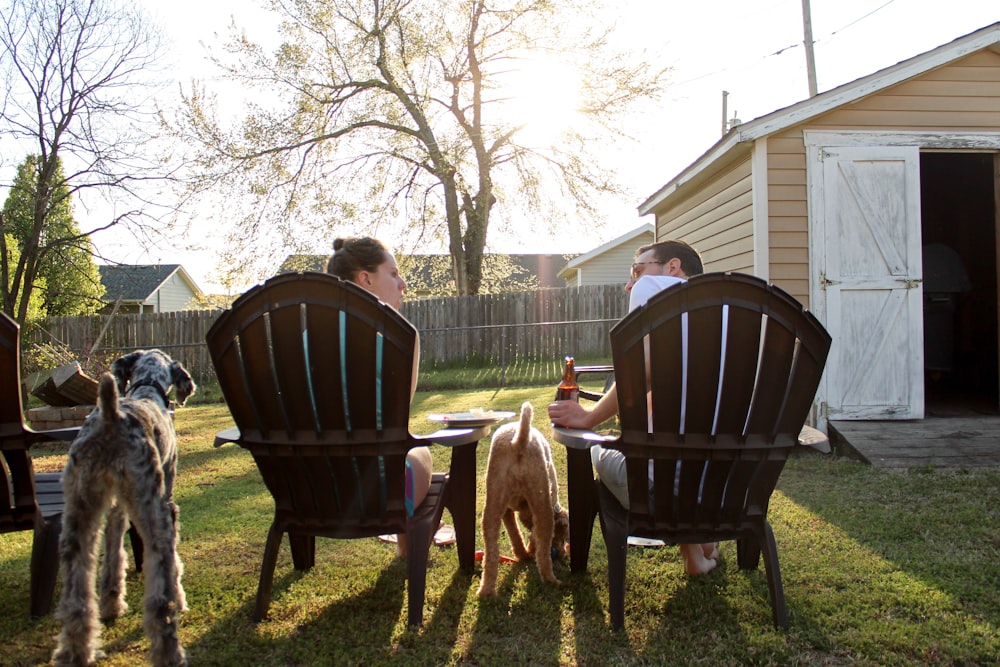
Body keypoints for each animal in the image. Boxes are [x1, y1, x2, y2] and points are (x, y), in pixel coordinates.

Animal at [52, 352, 195, 664]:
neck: (147, 389)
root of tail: (110, 418)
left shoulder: (117, 512)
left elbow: (115, 557)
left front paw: (112, 603)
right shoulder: (167, 503)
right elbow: (175, 567)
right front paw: (180, 599)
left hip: (78, 516)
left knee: (76, 596)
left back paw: (75, 651)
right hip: (154, 514)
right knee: (160, 597)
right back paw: (170, 652)